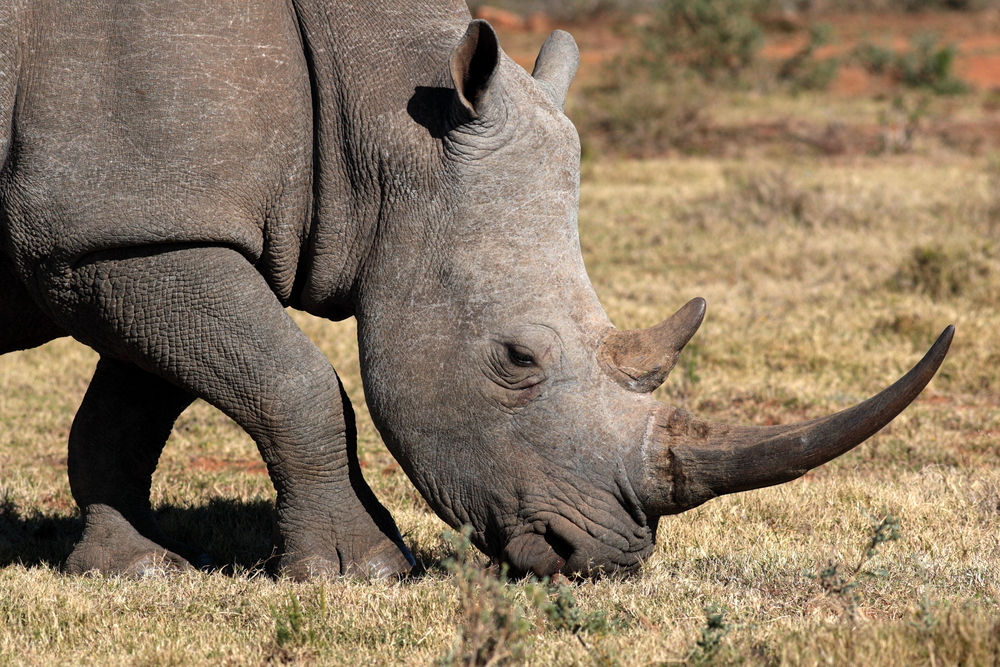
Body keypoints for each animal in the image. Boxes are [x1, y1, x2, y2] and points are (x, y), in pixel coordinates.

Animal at [0, 0, 952, 579]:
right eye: (517, 358)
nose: (604, 557)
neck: (378, 119)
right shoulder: (117, 228)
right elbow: (297, 384)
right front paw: (364, 573)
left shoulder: (139, 227)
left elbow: (133, 409)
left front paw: (130, 568)